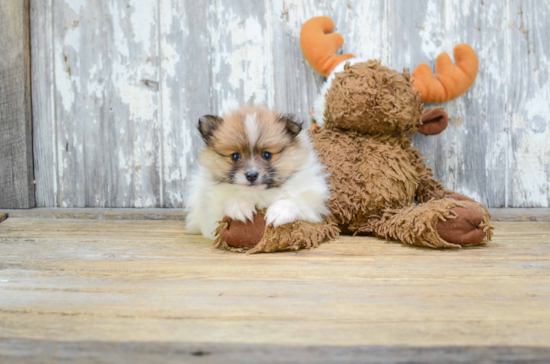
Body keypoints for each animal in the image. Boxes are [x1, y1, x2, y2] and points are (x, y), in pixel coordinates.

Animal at [185, 106, 332, 239]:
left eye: (266, 155)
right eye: (235, 156)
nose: (251, 175)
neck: (258, 193)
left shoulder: (314, 204)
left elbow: (298, 202)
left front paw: (280, 211)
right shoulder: (209, 216)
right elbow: (225, 201)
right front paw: (239, 206)